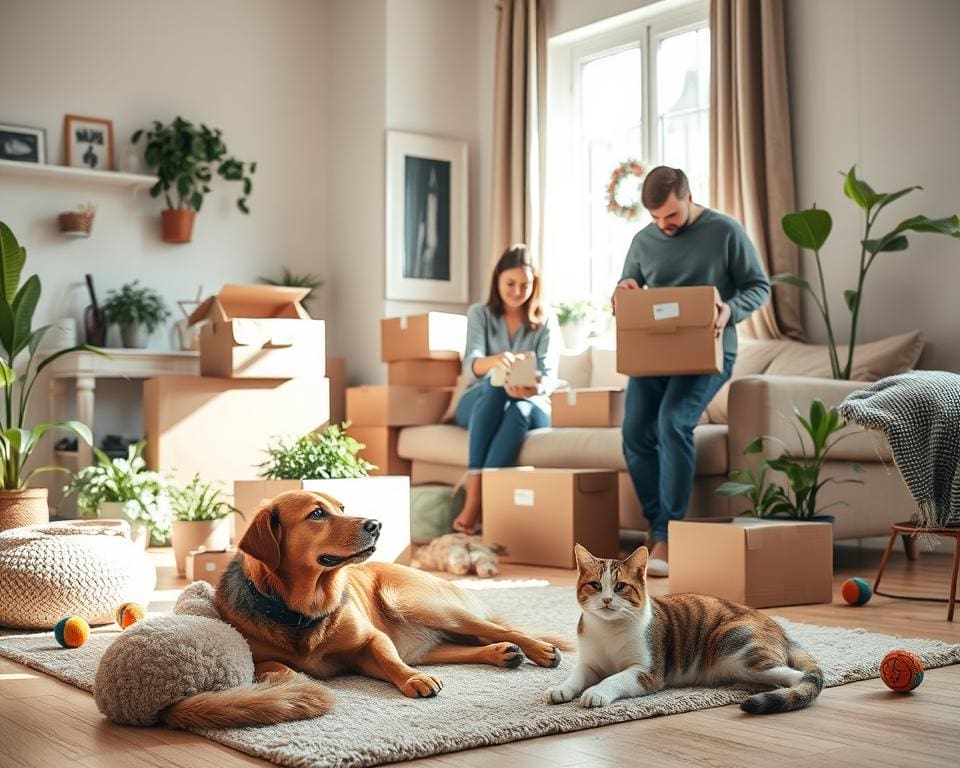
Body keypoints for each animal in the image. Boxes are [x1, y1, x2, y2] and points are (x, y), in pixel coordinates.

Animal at [160, 488, 568, 728]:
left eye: (342, 507)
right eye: (316, 514)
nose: (376, 524)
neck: (304, 607)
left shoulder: (371, 643)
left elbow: (391, 662)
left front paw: (414, 681)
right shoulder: (262, 658)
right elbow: (277, 666)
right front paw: (299, 684)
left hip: (420, 603)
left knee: (501, 628)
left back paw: (539, 650)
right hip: (426, 643)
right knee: (463, 647)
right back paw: (501, 654)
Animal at [548, 540, 824, 712]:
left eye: (620, 587)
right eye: (596, 585)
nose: (606, 599)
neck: (608, 630)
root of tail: (780, 629)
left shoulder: (647, 671)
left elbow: (615, 678)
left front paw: (596, 691)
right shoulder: (589, 664)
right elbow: (576, 676)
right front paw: (561, 689)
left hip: (735, 646)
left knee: (801, 677)